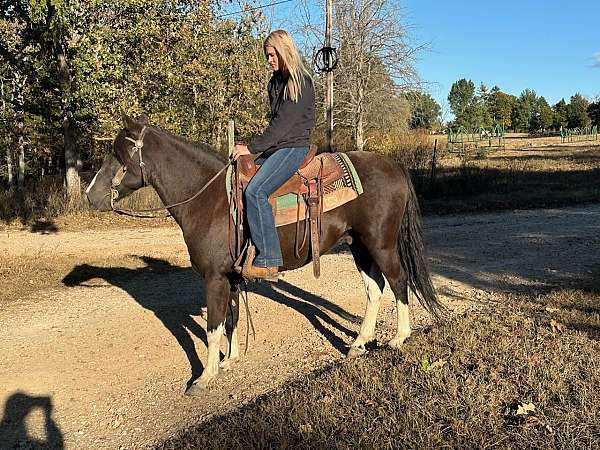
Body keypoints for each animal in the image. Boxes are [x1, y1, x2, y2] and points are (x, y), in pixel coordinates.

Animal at [85, 115, 440, 394]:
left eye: (118, 154)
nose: (90, 196)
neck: (209, 199)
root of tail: (393, 166)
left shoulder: (214, 278)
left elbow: (213, 326)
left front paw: (205, 376)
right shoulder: (228, 277)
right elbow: (230, 318)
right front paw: (230, 360)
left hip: (381, 243)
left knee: (399, 282)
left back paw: (399, 338)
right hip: (358, 245)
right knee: (374, 289)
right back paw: (359, 343)